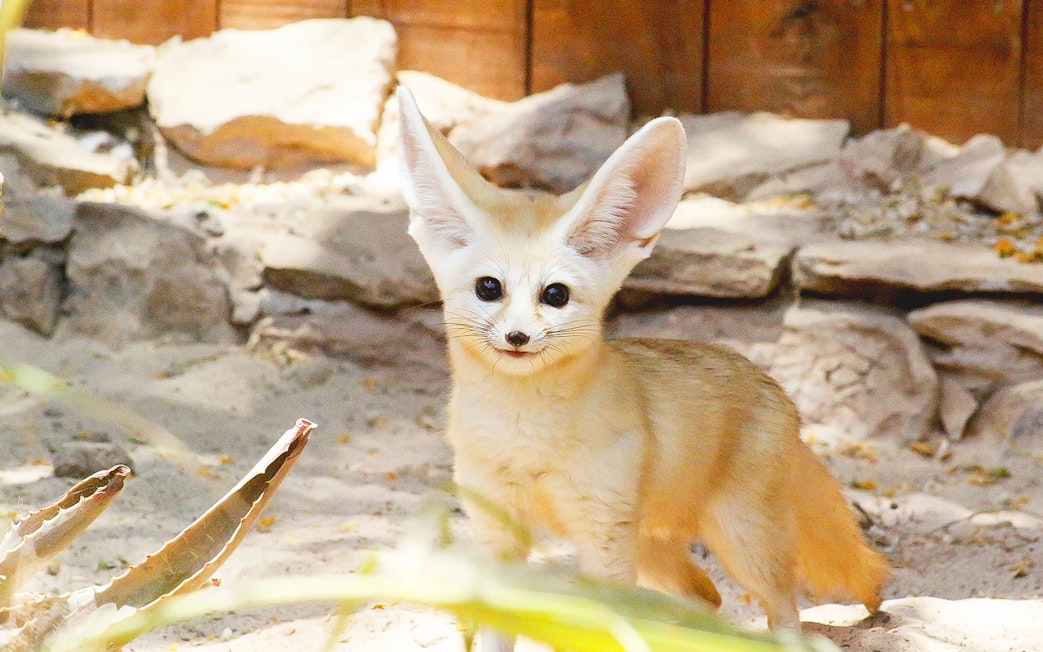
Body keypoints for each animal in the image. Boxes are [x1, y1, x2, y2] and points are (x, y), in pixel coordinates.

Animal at [396, 85, 888, 649]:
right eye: (488, 288)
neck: (527, 435)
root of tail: (775, 390)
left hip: (741, 538)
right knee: (707, 597)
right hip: (655, 550)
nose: (517, 337)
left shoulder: (603, 536)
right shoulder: (497, 525)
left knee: (781, 609)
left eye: (555, 295)